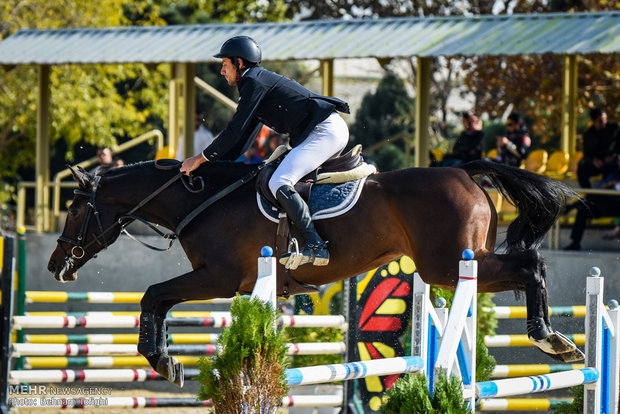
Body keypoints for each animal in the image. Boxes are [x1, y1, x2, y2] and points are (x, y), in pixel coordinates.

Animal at [47, 159, 580, 388]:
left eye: (73, 210)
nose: (56, 267)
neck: (200, 197)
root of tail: (467, 173)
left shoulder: (218, 277)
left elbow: (153, 295)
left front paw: (161, 361)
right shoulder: (224, 282)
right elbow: (157, 299)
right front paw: (166, 360)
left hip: (451, 266)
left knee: (530, 264)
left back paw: (548, 337)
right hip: (459, 265)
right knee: (527, 265)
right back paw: (556, 340)